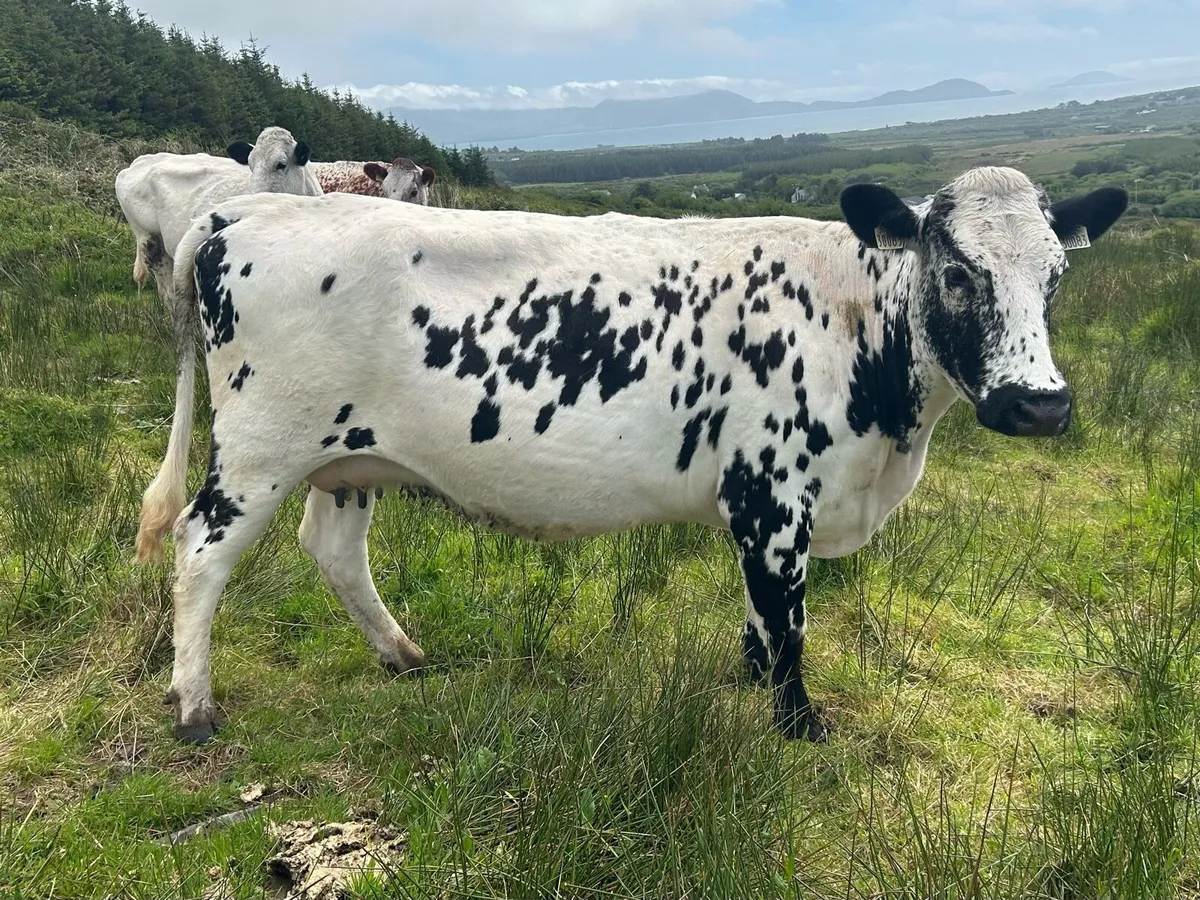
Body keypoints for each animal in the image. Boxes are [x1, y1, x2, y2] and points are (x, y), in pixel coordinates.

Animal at [140, 166, 1127, 745]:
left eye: (1056, 276)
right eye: (957, 272)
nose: (1041, 404)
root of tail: (248, 208)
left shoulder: (761, 503)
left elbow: (761, 615)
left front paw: (749, 680)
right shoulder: (775, 495)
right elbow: (789, 618)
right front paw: (797, 724)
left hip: (350, 457)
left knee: (335, 551)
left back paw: (404, 654)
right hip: (261, 447)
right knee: (200, 548)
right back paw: (195, 705)